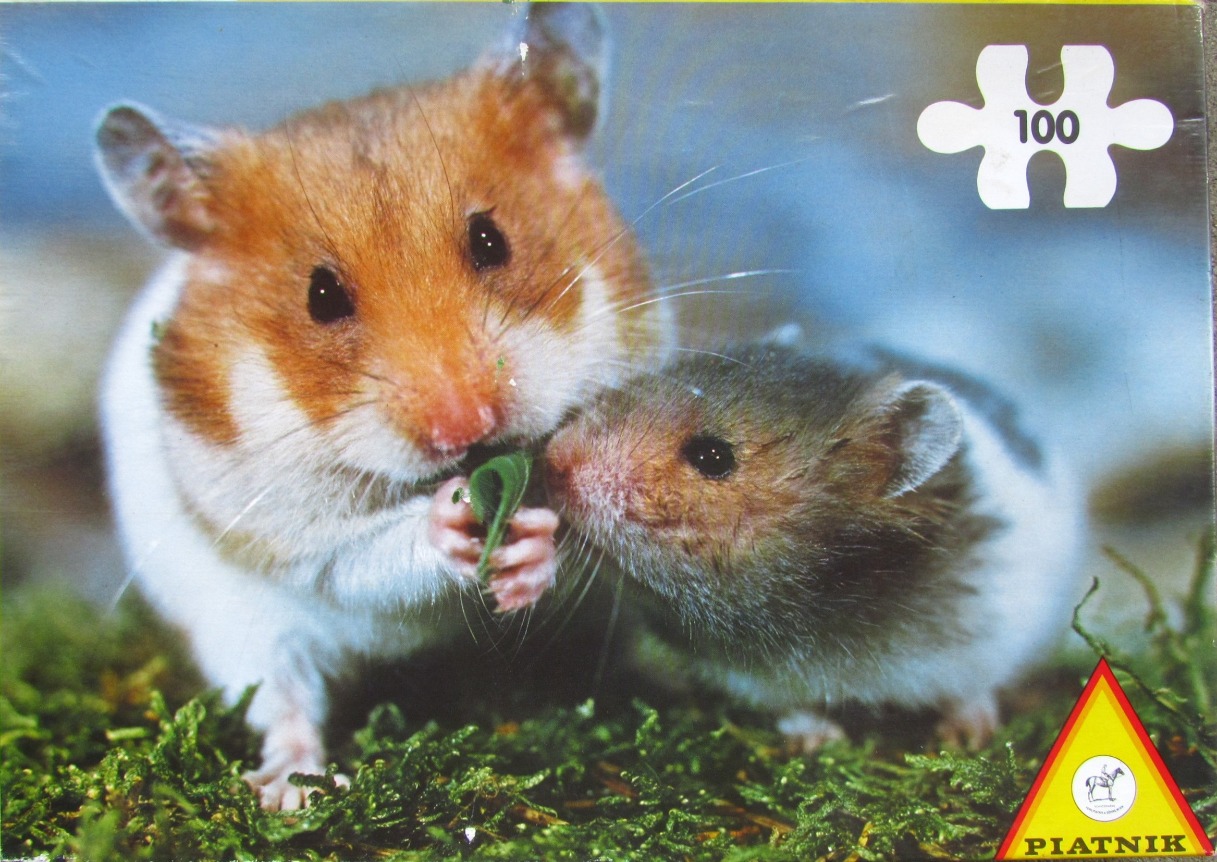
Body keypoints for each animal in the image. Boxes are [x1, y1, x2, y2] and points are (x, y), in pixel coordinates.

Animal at [95, 3, 671, 809]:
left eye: (490, 240)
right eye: (321, 295)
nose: (465, 428)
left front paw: (531, 547)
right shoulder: (293, 533)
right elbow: (362, 559)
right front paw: (451, 522)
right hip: (238, 629)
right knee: (283, 700)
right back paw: (294, 789)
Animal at [545, 341, 1083, 751]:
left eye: (713, 456)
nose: (552, 458)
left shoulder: (994, 630)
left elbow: (973, 689)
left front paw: (967, 739)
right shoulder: (746, 676)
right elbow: (790, 710)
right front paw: (822, 742)